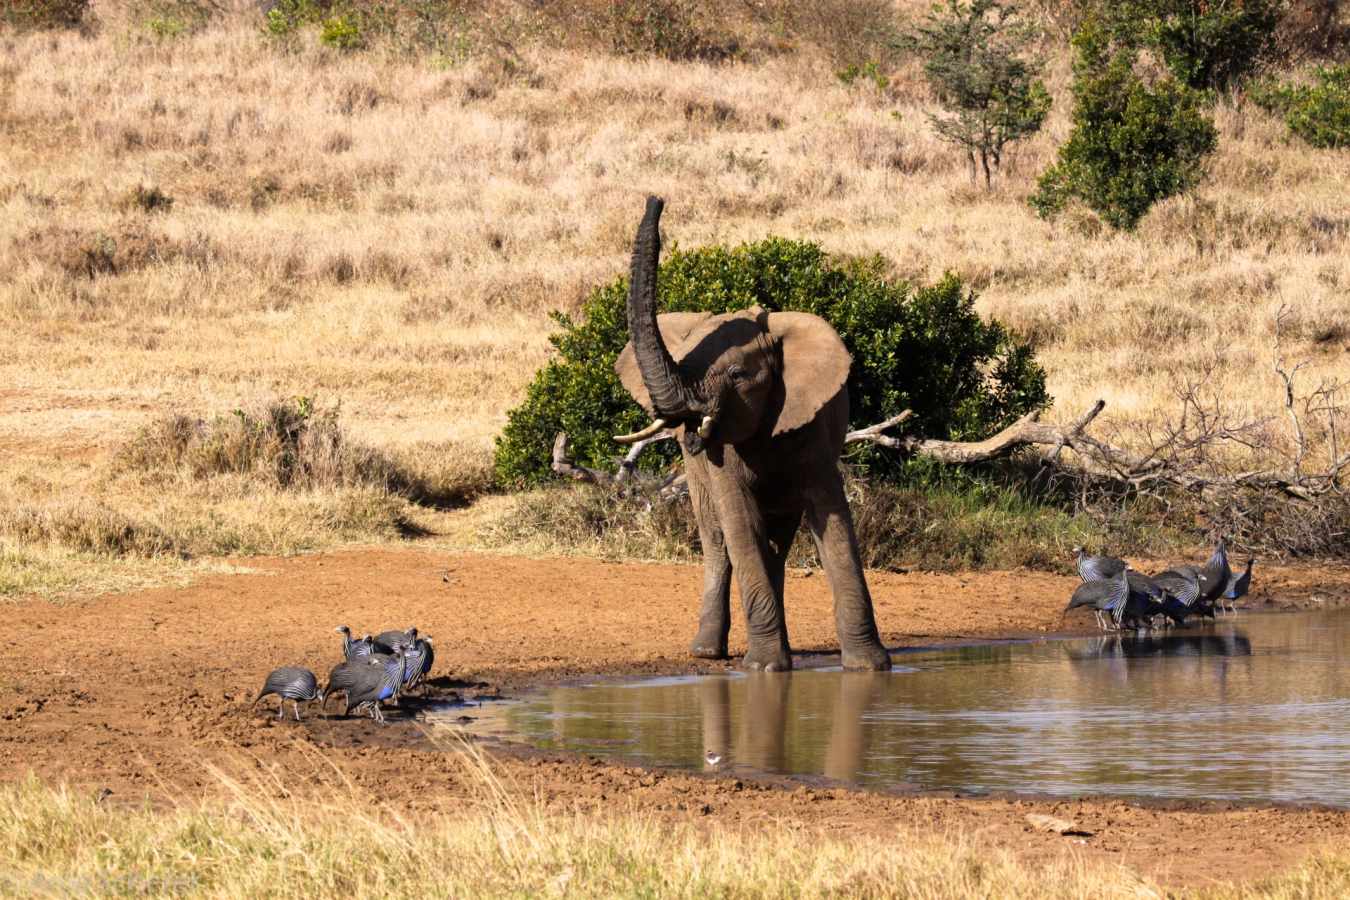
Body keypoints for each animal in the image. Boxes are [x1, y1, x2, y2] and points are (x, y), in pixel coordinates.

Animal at [612, 196, 891, 672]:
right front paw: (764, 668)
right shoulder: (723, 452)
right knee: (719, 537)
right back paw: (709, 652)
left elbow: (833, 521)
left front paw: (870, 667)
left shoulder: (812, 429)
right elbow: (739, 521)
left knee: (778, 539)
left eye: (739, 375)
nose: (656, 199)